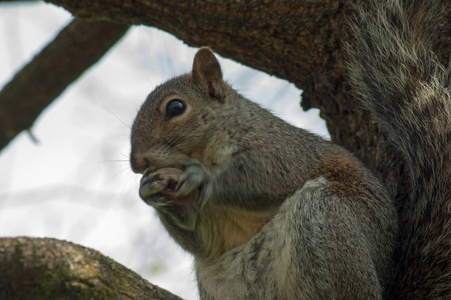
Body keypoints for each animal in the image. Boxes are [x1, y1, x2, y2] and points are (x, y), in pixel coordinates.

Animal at [129, 0, 450, 298]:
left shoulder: (280, 149)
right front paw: (150, 190)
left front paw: (199, 177)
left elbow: (266, 178)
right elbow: (201, 240)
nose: (136, 163)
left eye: (176, 107)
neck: (204, 151)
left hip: (327, 219)